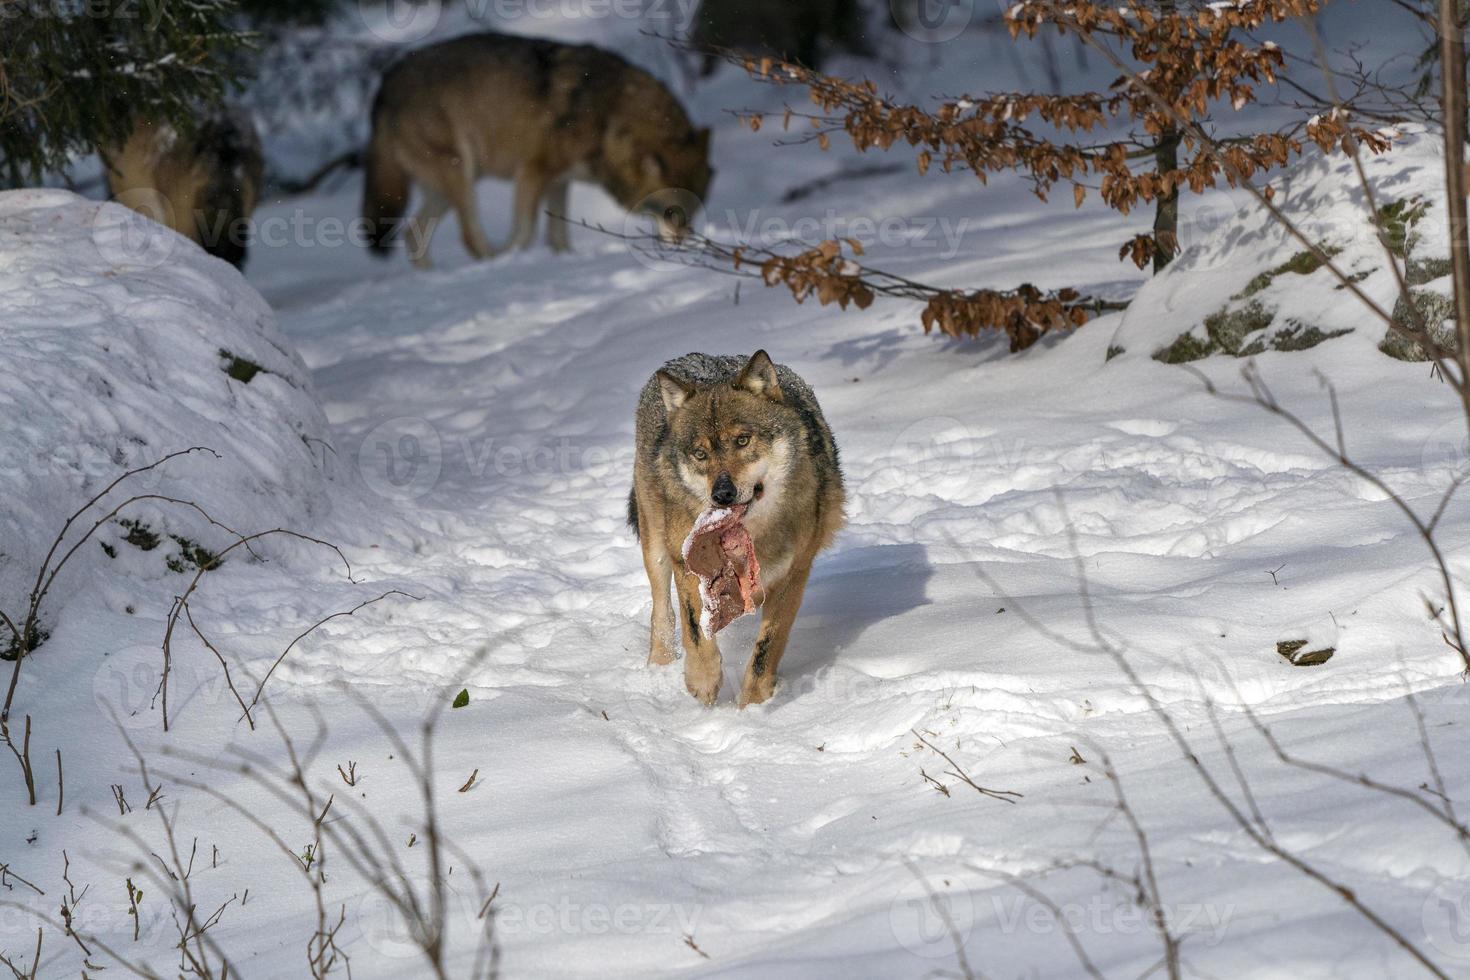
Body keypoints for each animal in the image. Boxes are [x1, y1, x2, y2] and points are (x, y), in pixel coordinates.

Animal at [364, 32, 714, 268]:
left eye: (693, 211)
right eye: (670, 212)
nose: (683, 246)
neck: (608, 115)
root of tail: (384, 83)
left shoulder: (560, 181)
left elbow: (558, 235)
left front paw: (565, 259)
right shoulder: (534, 171)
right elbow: (526, 231)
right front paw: (516, 256)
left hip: (447, 186)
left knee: (412, 234)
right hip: (459, 171)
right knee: (469, 238)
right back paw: (493, 262)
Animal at [626, 351, 846, 705]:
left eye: (742, 440)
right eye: (700, 453)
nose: (722, 494)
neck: (752, 534)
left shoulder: (794, 574)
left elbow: (764, 652)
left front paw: (752, 708)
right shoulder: (686, 565)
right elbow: (695, 631)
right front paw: (702, 683)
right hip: (656, 545)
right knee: (662, 611)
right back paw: (659, 665)